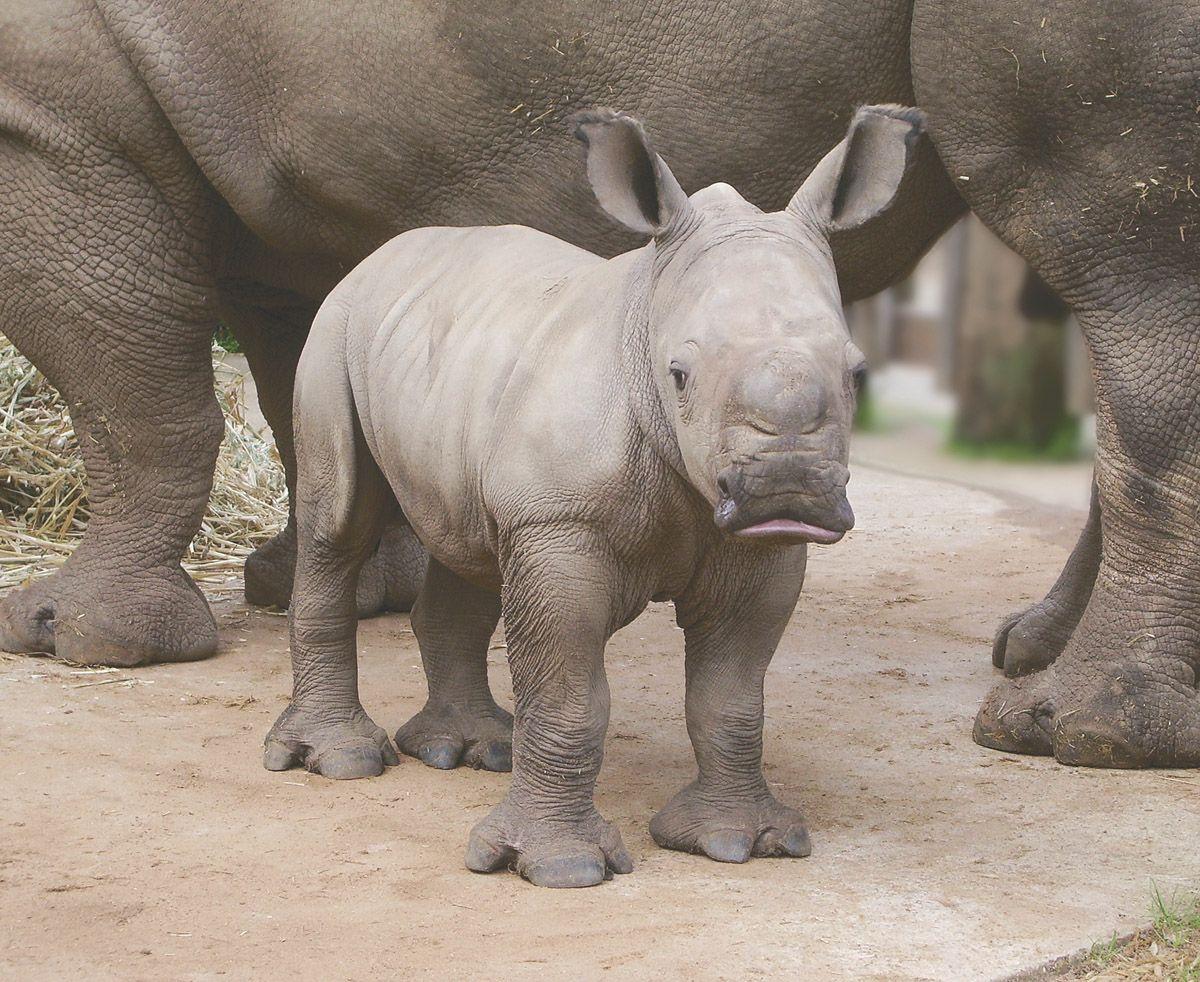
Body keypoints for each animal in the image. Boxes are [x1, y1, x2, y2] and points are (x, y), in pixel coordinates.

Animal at [272, 103, 921, 883]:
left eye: (856, 374)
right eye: (679, 376)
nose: (786, 486)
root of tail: (376, 258)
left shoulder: (752, 549)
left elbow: (731, 697)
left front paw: (740, 843)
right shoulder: (560, 525)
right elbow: (568, 695)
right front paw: (561, 869)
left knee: (470, 546)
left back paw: (469, 750)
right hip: (335, 330)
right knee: (339, 521)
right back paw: (340, 761)